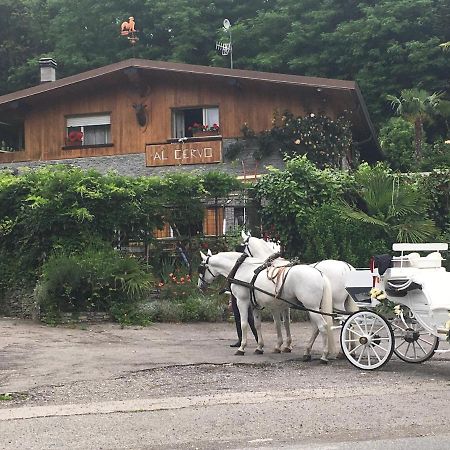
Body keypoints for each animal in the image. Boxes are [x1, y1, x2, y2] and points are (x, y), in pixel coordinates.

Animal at [199, 251, 336, 364]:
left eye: (201, 268)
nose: (200, 286)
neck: (242, 269)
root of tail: (320, 274)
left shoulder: (242, 302)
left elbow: (244, 324)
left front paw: (242, 347)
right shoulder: (255, 305)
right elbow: (258, 324)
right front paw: (259, 347)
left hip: (311, 307)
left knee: (322, 326)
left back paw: (324, 356)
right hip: (313, 308)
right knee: (316, 328)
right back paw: (307, 353)